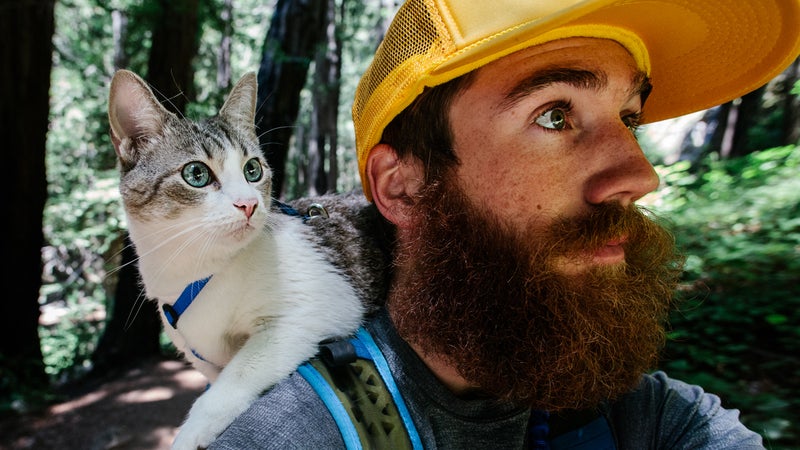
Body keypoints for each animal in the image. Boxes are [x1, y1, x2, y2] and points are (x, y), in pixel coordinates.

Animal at [107, 70, 388, 450]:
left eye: (252, 169)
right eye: (196, 175)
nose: (249, 203)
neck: (198, 272)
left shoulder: (323, 302)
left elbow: (235, 377)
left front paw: (190, 434)